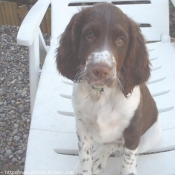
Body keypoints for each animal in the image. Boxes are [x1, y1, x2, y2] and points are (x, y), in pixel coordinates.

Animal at [56, 2, 161, 175]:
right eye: (90, 34)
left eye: (121, 40)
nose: (100, 70)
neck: (101, 94)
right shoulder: (82, 126)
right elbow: (84, 158)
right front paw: (84, 167)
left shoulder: (133, 131)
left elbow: (127, 162)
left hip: (152, 135)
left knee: (116, 145)